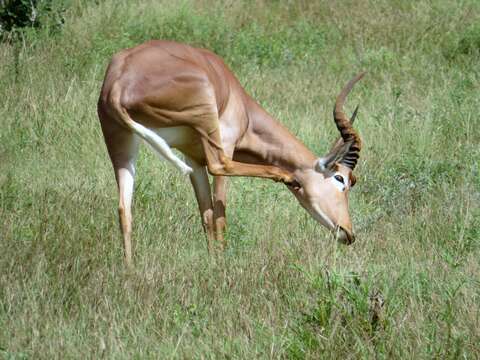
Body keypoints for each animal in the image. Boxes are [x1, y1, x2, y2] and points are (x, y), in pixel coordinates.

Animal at [97, 40, 364, 266]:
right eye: (340, 179)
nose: (348, 233)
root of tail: (116, 85)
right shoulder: (224, 143)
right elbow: (220, 215)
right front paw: (221, 264)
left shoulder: (193, 160)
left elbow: (206, 215)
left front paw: (212, 262)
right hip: (206, 121)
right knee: (222, 165)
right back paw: (285, 175)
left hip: (122, 148)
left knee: (124, 209)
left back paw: (130, 269)